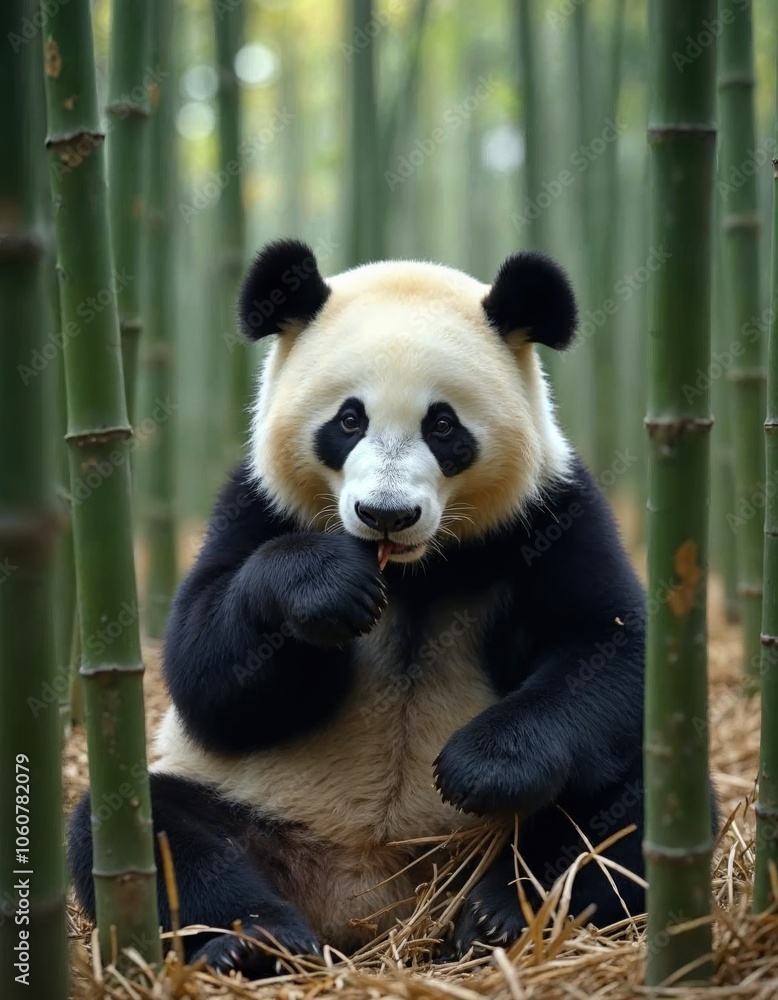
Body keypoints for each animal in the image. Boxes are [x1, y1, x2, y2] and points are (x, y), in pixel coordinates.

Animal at [68, 239, 647, 978]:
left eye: (442, 424)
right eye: (349, 420)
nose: (386, 514)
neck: (413, 571)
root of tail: (374, 908)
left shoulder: (551, 510)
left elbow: (608, 642)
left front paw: (483, 767)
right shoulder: (255, 504)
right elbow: (205, 672)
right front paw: (327, 585)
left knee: (623, 810)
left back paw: (501, 915)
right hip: (254, 810)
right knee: (145, 832)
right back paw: (257, 940)